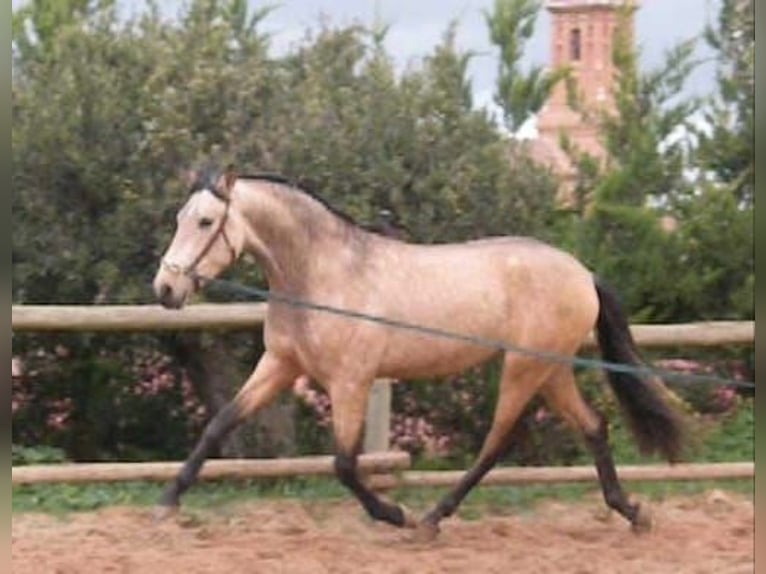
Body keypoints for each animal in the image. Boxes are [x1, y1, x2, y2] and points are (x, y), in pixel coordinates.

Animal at [153, 166, 688, 540]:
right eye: (178, 218)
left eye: (205, 221)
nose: (165, 288)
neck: (323, 274)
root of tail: (583, 273)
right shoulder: (281, 366)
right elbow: (220, 423)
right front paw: (167, 501)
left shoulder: (350, 382)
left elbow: (343, 464)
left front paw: (394, 514)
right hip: (552, 371)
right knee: (593, 427)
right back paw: (632, 512)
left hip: (525, 367)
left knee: (498, 441)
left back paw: (430, 519)